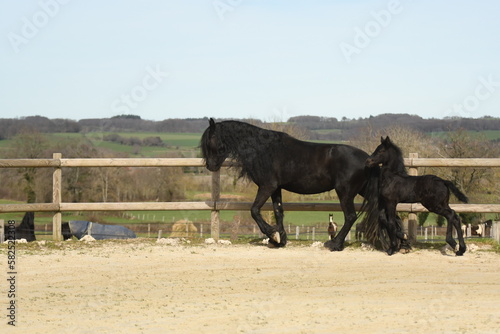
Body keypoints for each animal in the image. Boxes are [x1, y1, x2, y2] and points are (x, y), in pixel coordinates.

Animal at [199, 118, 378, 250]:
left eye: (210, 141)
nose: (210, 166)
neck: (262, 150)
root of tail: (366, 158)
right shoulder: (275, 188)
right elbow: (278, 211)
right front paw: (279, 240)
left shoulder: (267, 186)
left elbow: (254, 210)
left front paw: (273, 234)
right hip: (363, 190)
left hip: (345, 192)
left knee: (350, 216)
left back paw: (335, 244)